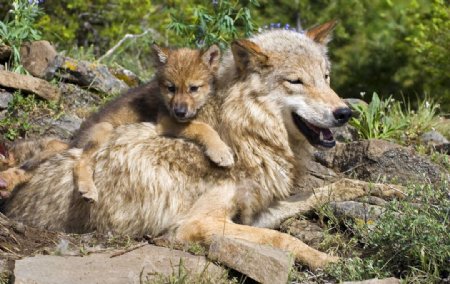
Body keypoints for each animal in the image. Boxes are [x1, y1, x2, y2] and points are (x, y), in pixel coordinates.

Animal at [0, 21, 400, 270]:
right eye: (296, 81)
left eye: (326, 77)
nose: (345, 112)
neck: (245, 134)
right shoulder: (196, 226)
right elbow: (284, 240)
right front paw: (334, 262)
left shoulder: (254, 211)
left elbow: (329, 188)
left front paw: (385, 189)